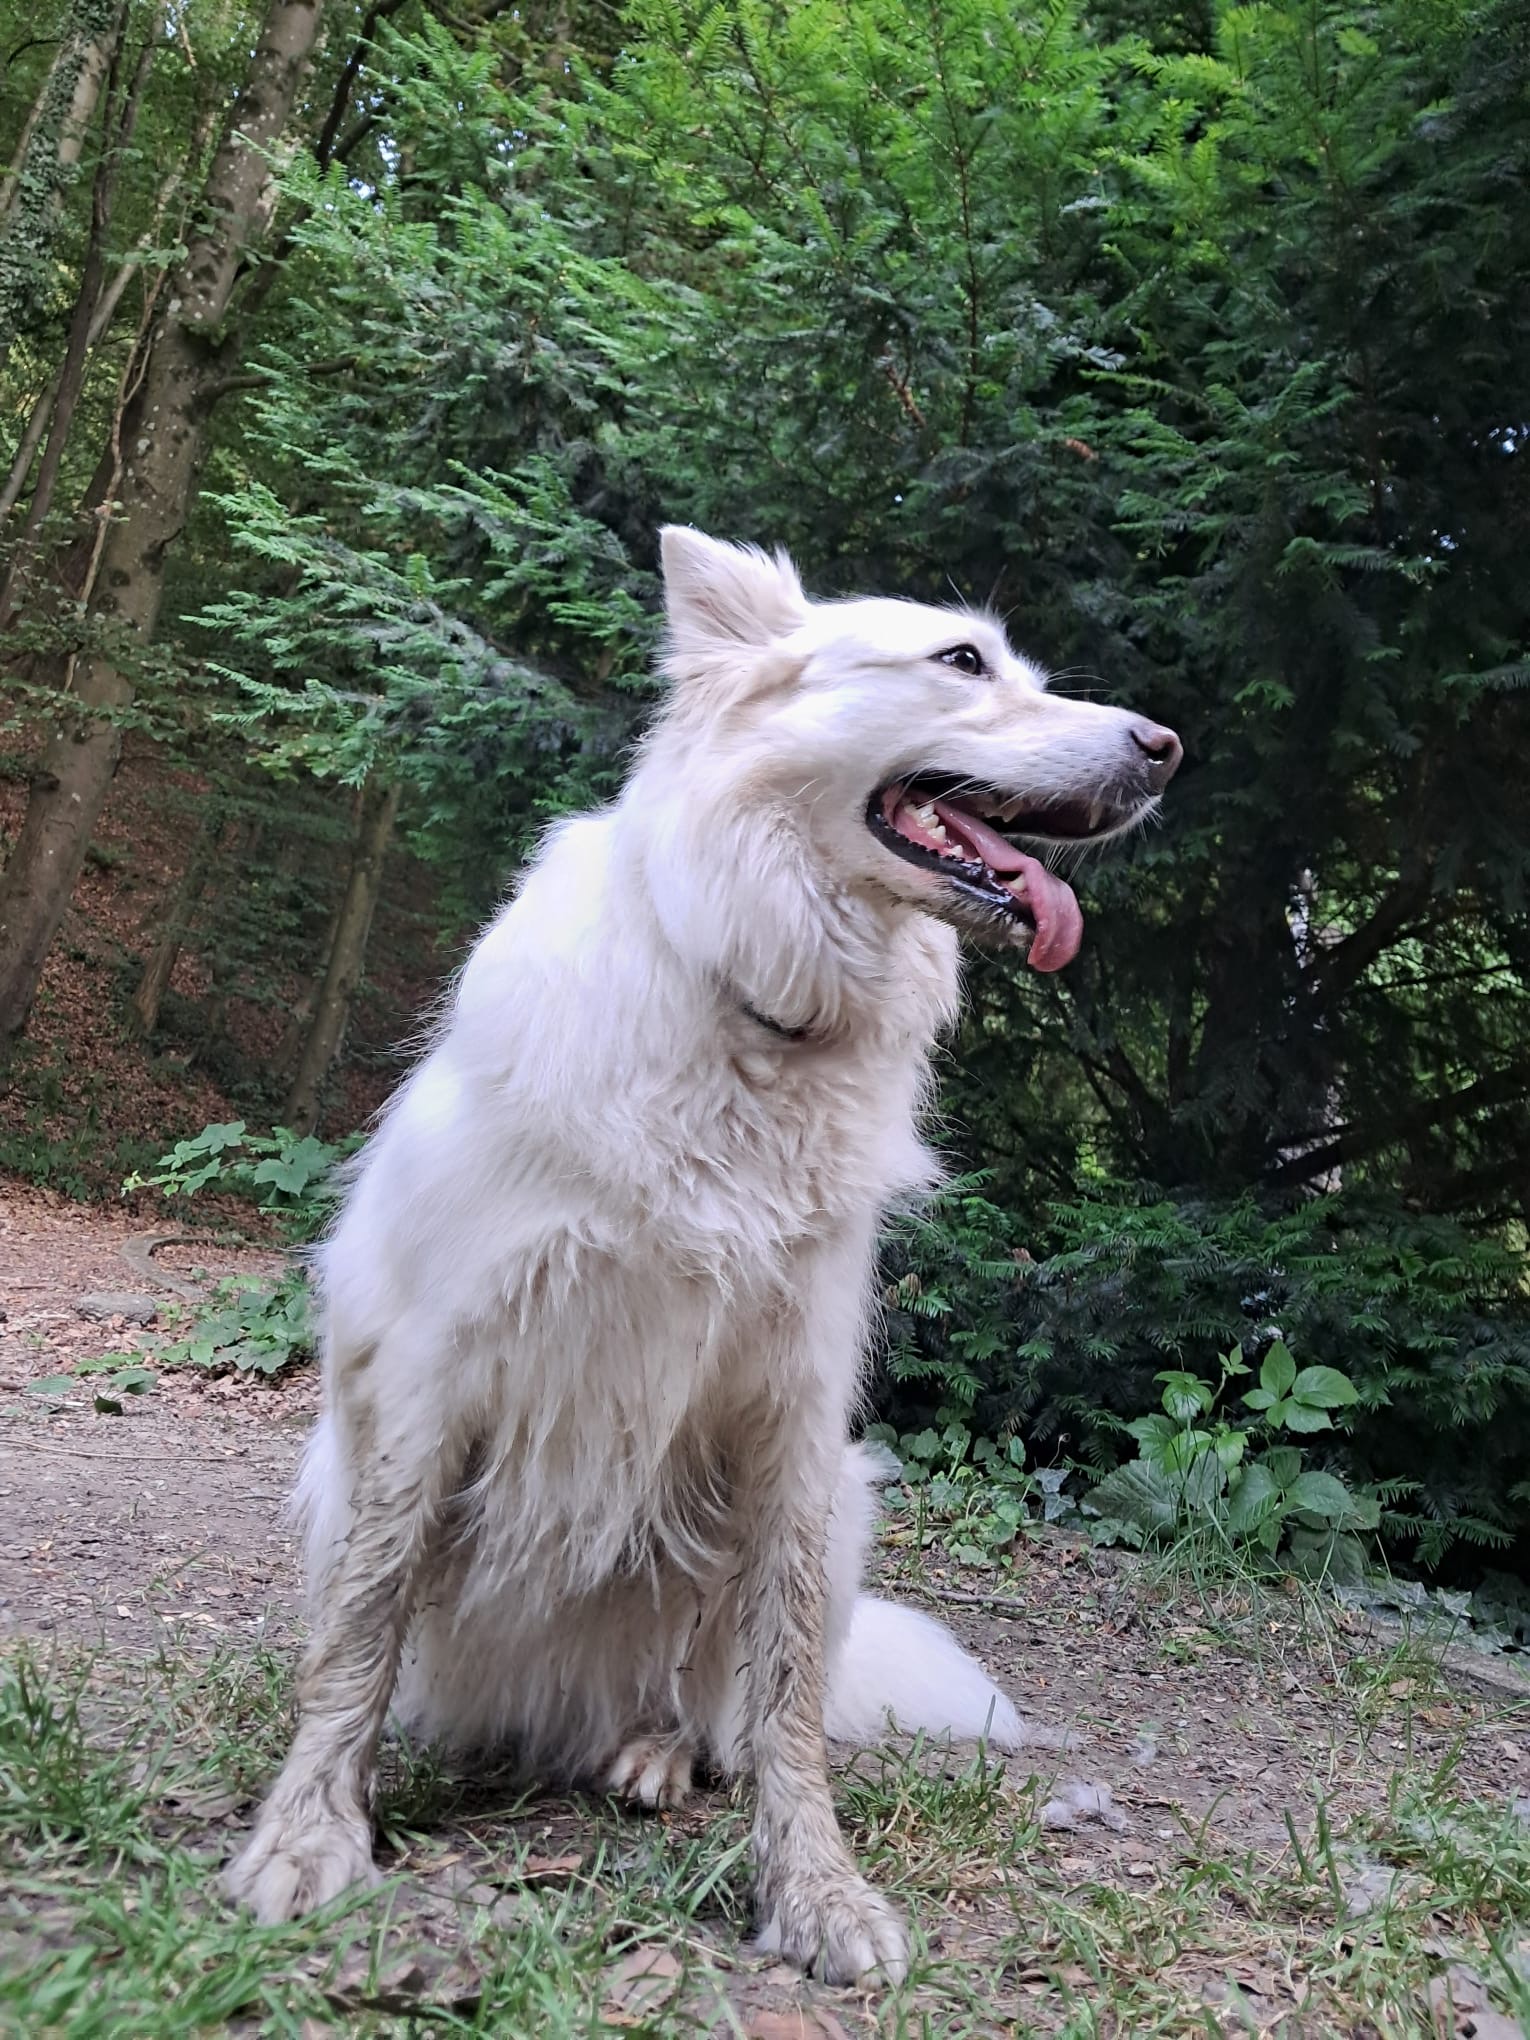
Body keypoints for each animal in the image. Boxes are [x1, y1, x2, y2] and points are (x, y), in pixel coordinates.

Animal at [226, 528, 1181, 1983]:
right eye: (961, 660)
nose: (1167, 745)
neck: (758, 1010)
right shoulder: (431, 1369)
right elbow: (359, 1632)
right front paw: (307, 1835)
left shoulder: (792, 1412)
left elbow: (782, 1703)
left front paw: (814, 1892)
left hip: (842, 1502)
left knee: (718, 1697)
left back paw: (656, 1754)